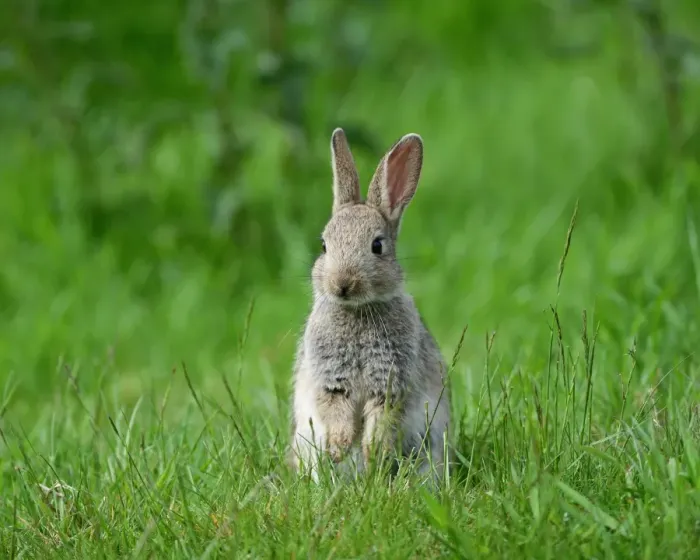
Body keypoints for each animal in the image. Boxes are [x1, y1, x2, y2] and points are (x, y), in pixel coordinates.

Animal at [288, 128, 451, 482]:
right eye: (324, 245)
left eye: (377, 246)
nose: (342, 283)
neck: (358, 311)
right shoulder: (331, 379)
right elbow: (335, 409)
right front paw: (339, 448)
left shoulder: (390, 382)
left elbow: (381, 417)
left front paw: (372, 453)